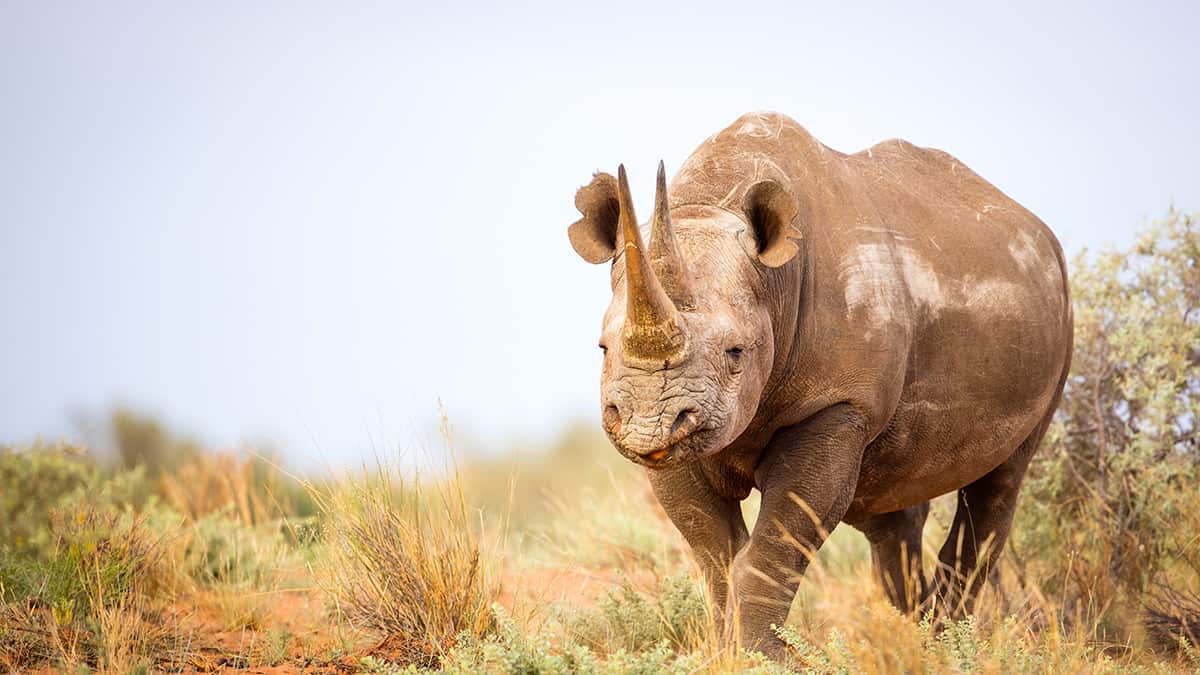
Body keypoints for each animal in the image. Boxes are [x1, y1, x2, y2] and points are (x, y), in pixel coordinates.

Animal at [567, 111, 1073, 656]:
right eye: (602, 349)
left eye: (735, 352)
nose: (649, 425)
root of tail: (1039, 232)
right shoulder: (684, 442)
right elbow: (716, 553)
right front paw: (729, 651)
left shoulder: (836, 403)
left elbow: (774, 547)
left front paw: (761, 657)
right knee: (888, 504)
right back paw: (915, 635)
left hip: (1059, 320)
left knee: (1001, 481)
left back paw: (947, 646)